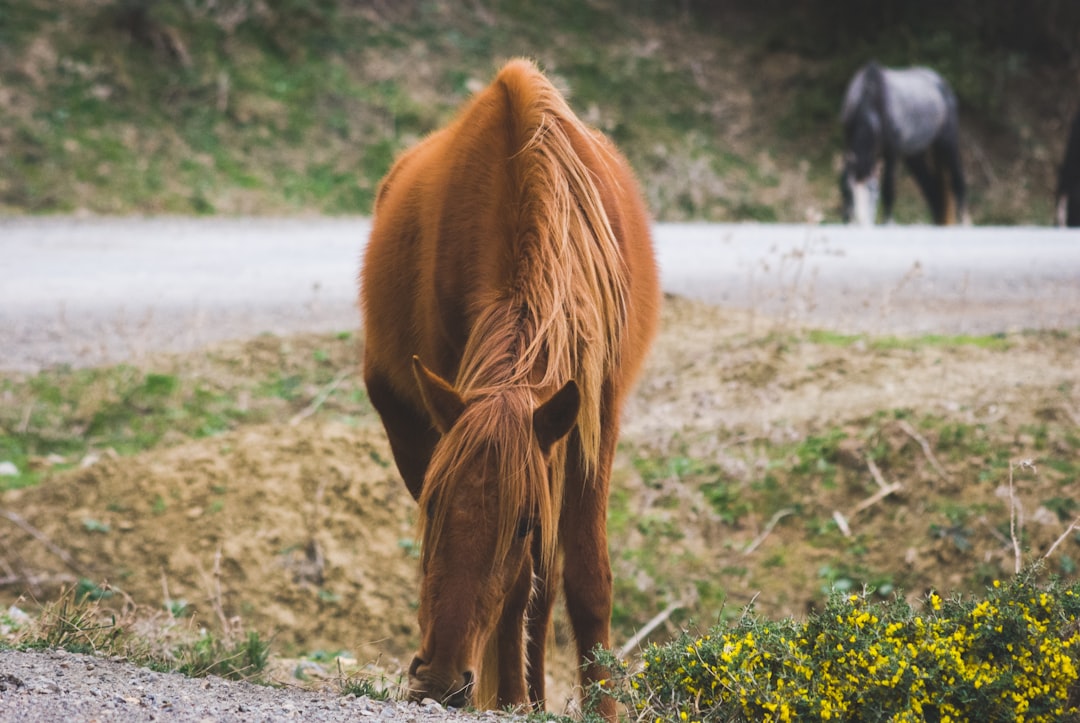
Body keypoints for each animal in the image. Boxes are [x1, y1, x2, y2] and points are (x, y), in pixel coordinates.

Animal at [360, 57, 656, 717]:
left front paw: (598, 708)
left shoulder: (594, 416)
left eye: (519, 522)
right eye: (434, 506)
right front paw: (514, 698)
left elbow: (582, 581)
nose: (438, 678)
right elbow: (518, 590)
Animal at [838, 62, 967, 225]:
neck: (872, 99)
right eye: (848, 192)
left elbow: (888, 189)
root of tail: (941, 82)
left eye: (875, 193)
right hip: (915, 156)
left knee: (958, 182)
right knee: (933, 193)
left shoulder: (892, 154)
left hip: (948, 143)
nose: (862, 224)